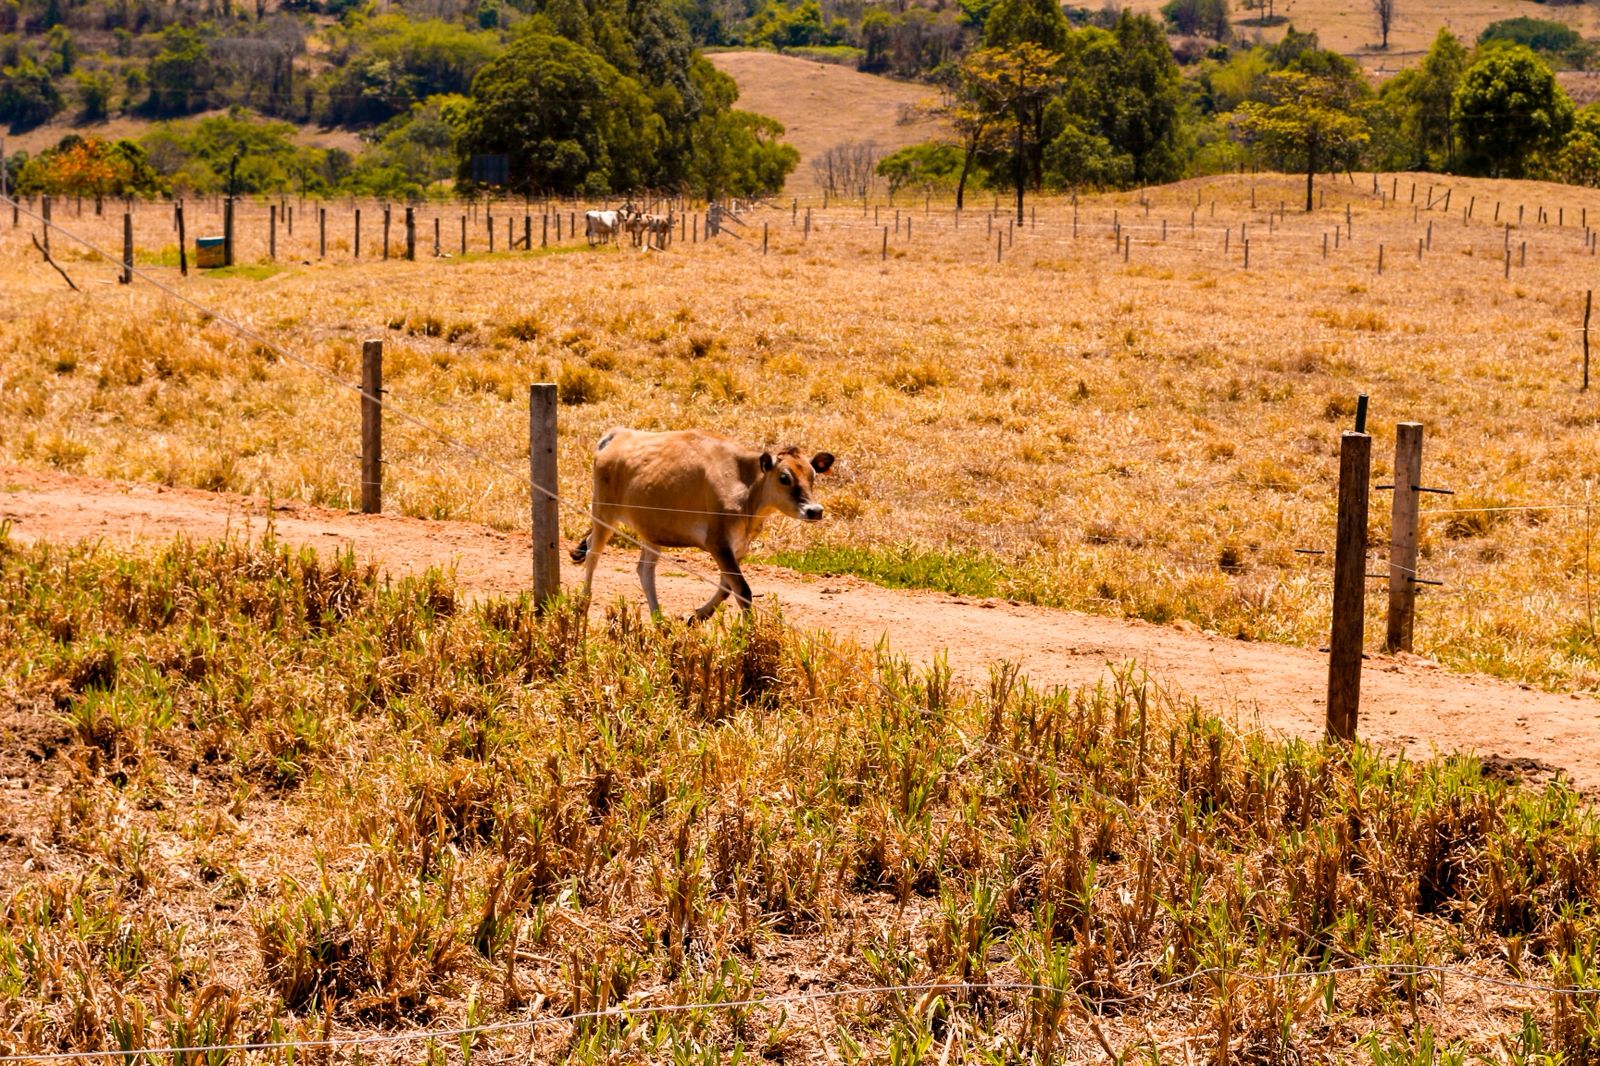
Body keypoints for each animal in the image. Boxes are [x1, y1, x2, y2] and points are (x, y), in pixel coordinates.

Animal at [570, 428, 835, 620]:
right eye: (784, 478)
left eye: (812, 475)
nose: (815, 511)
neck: (747, 487)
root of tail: (618, 434)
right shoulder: (718, 542)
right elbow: (742, 590)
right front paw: (750, 635)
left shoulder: (738, 546)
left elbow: (726, 587)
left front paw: (698, 616)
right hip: (603, 512)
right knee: (594, 553)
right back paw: (583, 603)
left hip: (651, 530)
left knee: (644, 570)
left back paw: (659, 620)